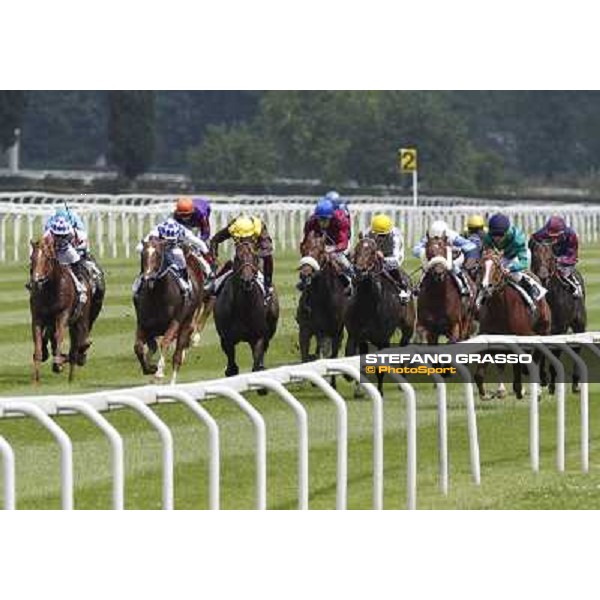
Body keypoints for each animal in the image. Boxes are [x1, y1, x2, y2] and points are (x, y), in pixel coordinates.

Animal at [132, 237, 200, 382]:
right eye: (143, 254)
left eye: (158, 254)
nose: (147, 277)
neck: (157, 296)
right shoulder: (143, 323)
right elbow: (138, 347)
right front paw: (149, 368)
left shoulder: (175, 321)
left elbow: (165, 342)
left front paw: (159, 371)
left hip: (187, 321)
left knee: (177, 355)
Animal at [213, 239, 278, 380]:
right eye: (237, 258)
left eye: (254, 257)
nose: (247, 280)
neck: (243, 308)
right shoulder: (227, 339)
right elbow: (231, 368)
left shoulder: (258, 337)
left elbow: (256, 366)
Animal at [296, 230, 346, 360]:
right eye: (303, 249)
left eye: (320, 251)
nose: (305, 274)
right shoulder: (306, 330)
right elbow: (305, 355)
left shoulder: (333, 332)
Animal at [476, 246, 552, 400]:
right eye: (480, 266)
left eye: (497, 267)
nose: (486, 286)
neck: (500, 308)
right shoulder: (488, 337)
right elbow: (479, 374)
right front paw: (485, 393)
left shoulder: (523, 336)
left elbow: (522, 363)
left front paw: (519, 388)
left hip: (543, 331)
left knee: (536, 359)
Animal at [528, 239, 584, 394]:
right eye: (535, 256)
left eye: (550, 257)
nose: (542, 275)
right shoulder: (540, 330)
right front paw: (542, 380)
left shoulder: (559, 328)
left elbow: (555, 355)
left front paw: (552, 384)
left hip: (579, 322)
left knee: (578, 348)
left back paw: (575, 382)